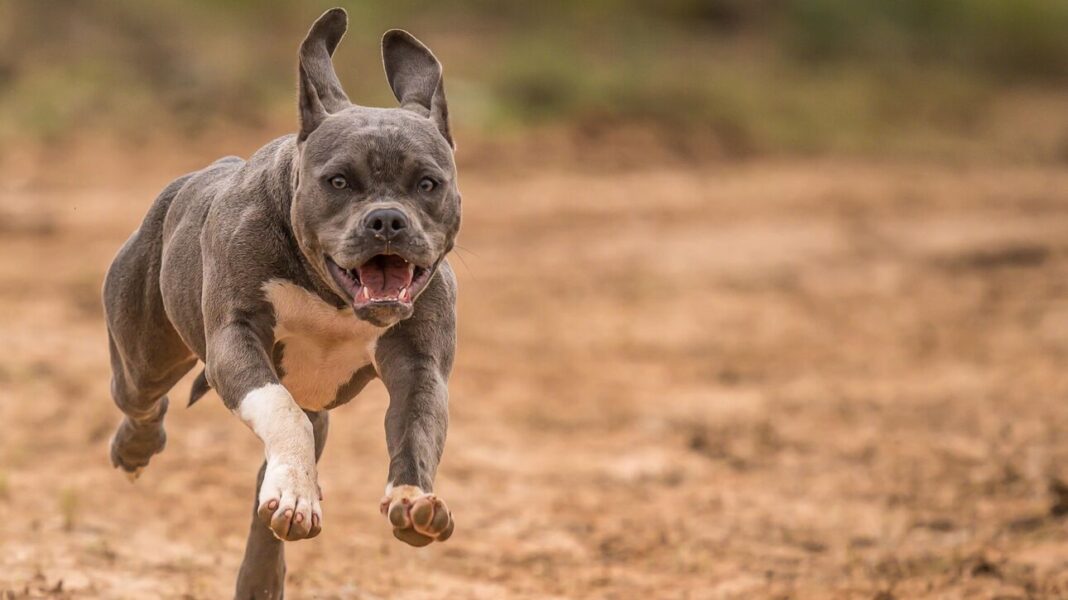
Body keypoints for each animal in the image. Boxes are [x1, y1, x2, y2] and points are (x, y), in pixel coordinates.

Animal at [101, 8, 461, 593]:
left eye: (428, 184)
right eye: (338, 181)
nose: (387, 220)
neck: (328, 292)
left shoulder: (420, 363)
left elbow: (418, 427)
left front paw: (413, 500)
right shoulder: (236, 340)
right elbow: (281, 412)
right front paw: (297, 492)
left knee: (267, 493)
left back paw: (266, 560)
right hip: (144, 356)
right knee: (141, 397)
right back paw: (140, 448)